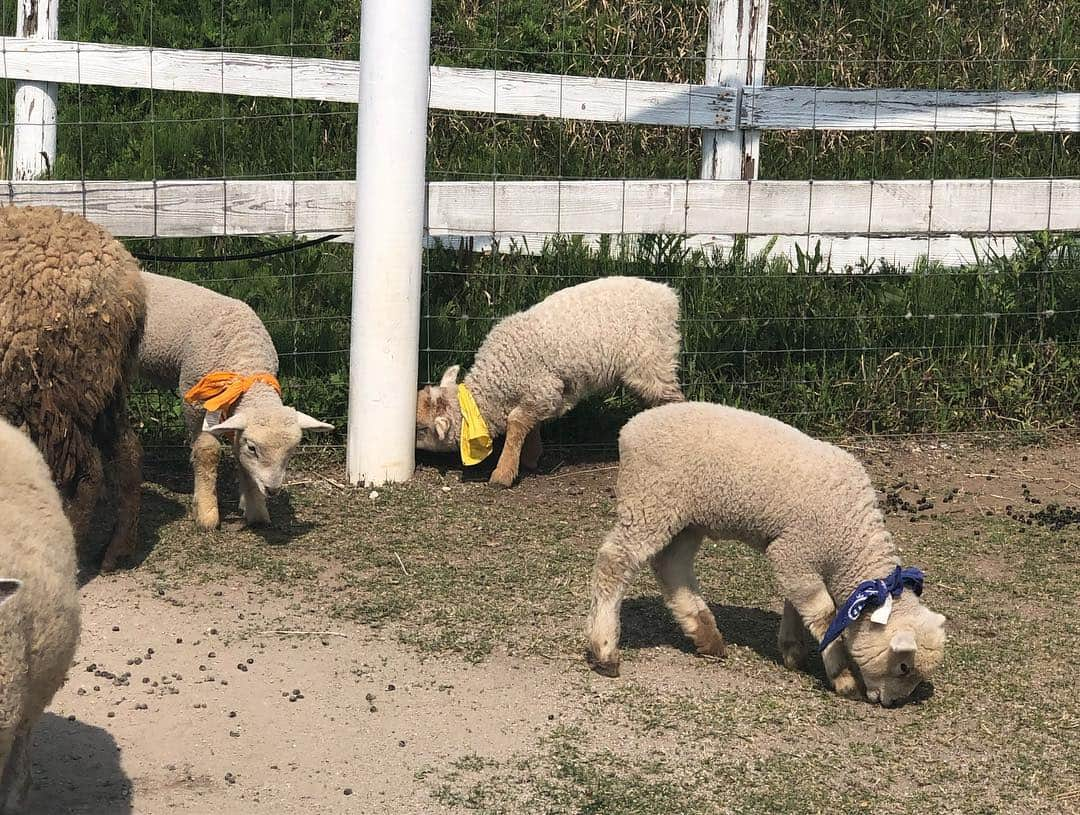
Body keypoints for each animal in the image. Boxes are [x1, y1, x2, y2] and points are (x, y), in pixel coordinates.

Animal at [0, 207, 145, 569]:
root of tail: (129, 284)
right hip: (102, 386)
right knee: (128, 453)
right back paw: (117, 551)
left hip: (50, 390)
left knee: (86, 476)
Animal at [139, 270, 332, 533]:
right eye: (253, 448)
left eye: (292, 450)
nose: (272, 490)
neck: (245, 359)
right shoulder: (194, 401)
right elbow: (207, 453)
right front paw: (207, 513)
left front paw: (256, 509)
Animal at [414, 276, 682, 487]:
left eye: (420, 429)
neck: (499, 381)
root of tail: (667, 296)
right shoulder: (540, 394)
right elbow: (530, 423)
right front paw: (531, 456)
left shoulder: (543, 388)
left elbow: (516, 422)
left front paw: (503, 473)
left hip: (651, 361)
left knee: (672, 399)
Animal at [587, 403, 950, 708]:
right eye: (903, 667)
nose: (892, 704)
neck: (847, 542)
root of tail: (632, 427)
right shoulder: (794, 549)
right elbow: (824, 614)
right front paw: (842, 677)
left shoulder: (797, 557)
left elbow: (796, 603)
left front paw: (792, 650)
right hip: (648, 502)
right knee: (614, 563)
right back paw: (604, 651)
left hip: (686, 520)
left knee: (671, 566)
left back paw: (706, 635)